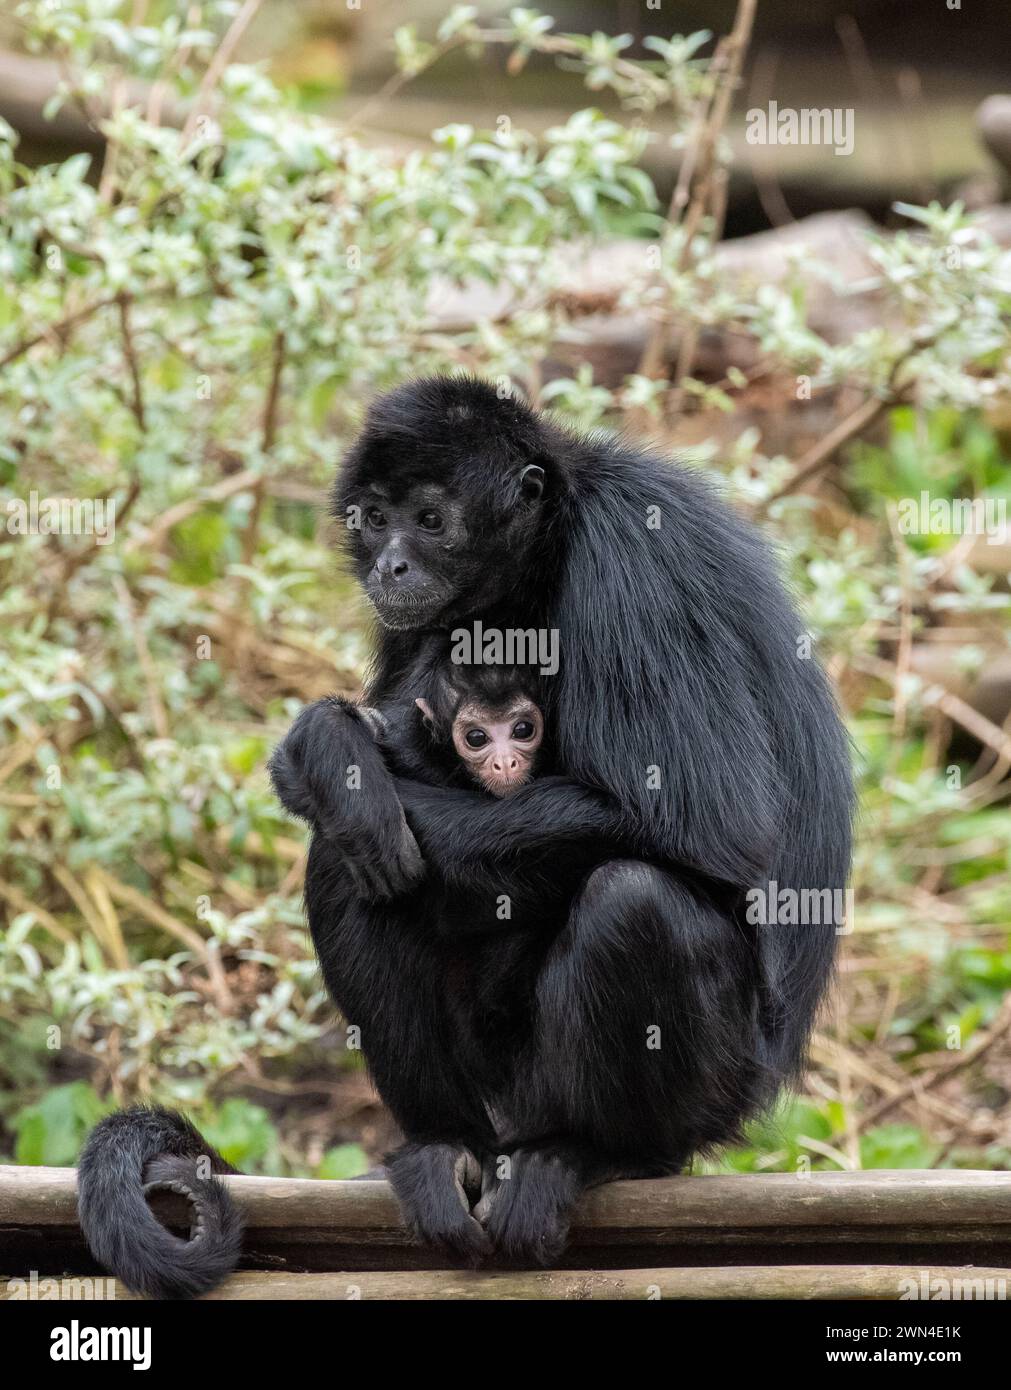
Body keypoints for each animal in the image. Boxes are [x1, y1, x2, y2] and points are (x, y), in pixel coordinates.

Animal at [81, 378, 856, 1289]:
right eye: (375, 519)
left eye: (429, 519)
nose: (389, 564)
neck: (552, 543)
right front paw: (330, 749)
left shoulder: (631, 559)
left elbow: (714, 825)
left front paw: (335, 770)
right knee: (354, 870)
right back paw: (448, 1150)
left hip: (700, 1084)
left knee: (630, 895)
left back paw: (589, 1154)